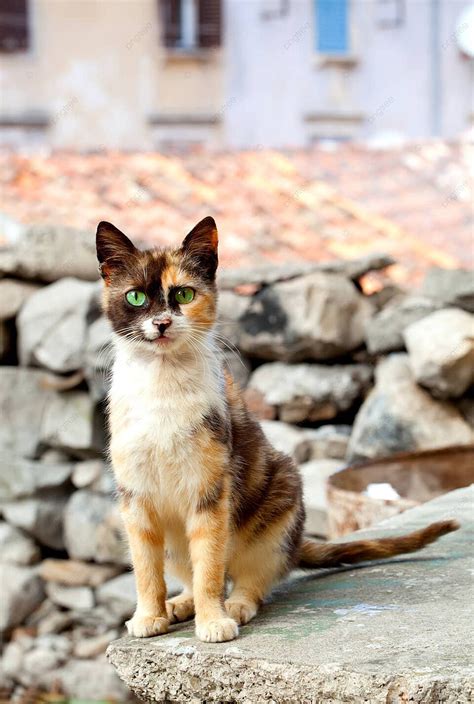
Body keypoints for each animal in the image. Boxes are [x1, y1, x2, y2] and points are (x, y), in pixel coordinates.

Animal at [95, 216, 460, 644]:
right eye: (136, 298)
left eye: (184, 294)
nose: (163, 323)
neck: (161, 386)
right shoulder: (135, 496)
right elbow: (145, 568)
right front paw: (150, 615)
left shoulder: (211, 489)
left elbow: (209, 566)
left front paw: (214, 621)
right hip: (178, 537)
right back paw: (180, 604)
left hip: (281, 495)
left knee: (251, 576)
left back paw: (235, 605)